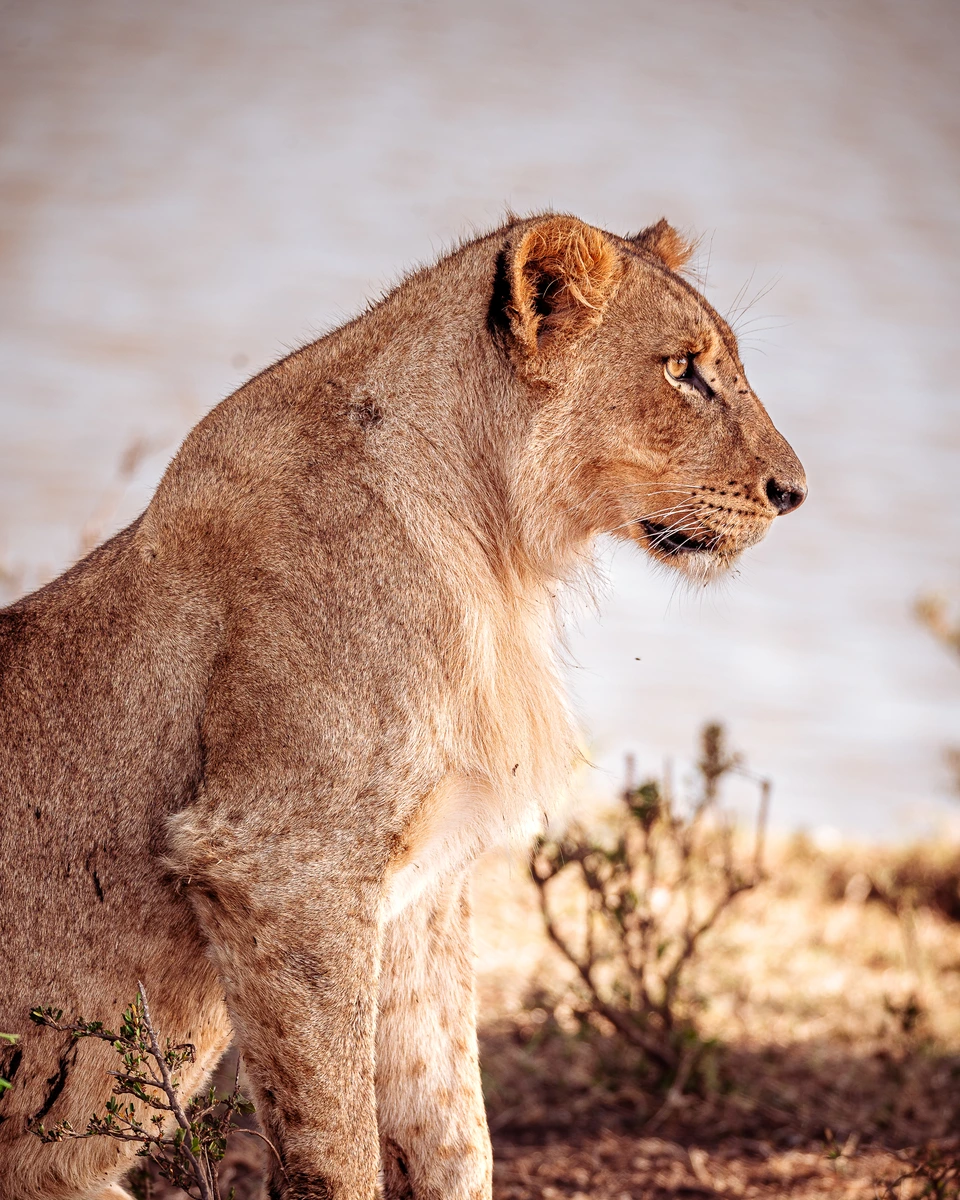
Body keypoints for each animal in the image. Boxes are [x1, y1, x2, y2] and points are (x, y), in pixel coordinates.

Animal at [0, 213, 805, 1200]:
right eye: (683, 368)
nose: (794, 493)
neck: (492, 545)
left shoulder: (423, 888)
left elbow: (453, 1129)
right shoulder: (281, 865)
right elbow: (341, 1143)